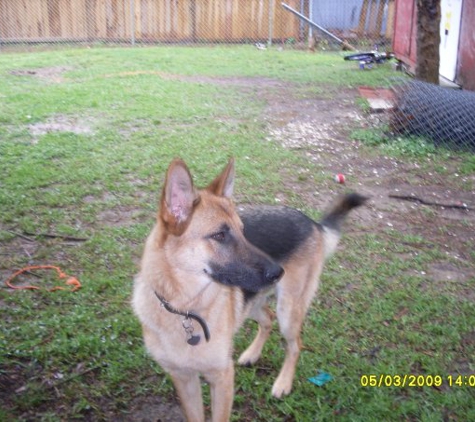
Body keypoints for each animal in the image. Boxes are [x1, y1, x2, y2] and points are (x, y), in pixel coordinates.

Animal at [134, 158, 368, 422]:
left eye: (243, 231)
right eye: (220, 235)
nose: (278, 272)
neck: (184, 309)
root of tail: (312, 223)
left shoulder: (222, 379)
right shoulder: (184, 380)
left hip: (288, 311)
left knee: (295, 345)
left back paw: (283, 383)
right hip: (252, 304)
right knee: (267, 319)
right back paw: (252, 354)